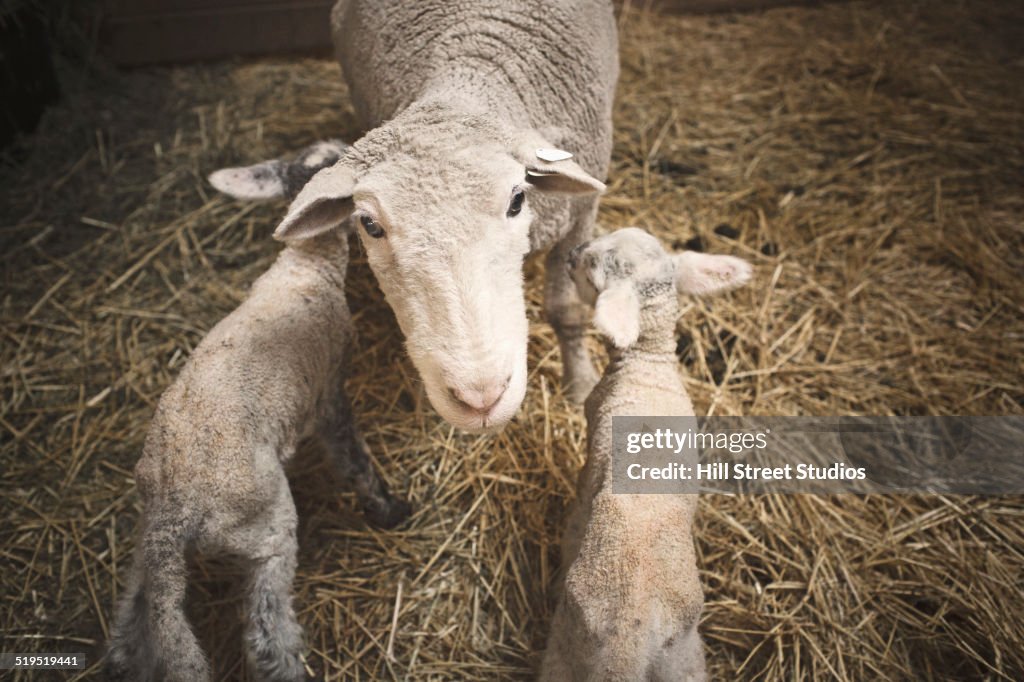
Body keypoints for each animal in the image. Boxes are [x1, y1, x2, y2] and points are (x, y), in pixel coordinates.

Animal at [101, 224, 409, 679]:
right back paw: (289, 666)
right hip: (266, 529)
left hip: (149, 541)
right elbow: (353, 458)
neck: (305, 266)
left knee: (136, 614)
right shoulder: (330, 394)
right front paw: (388, 508)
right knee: (266, 628)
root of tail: (176, 513)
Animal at [207, 0, 614, 430]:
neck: (469, 75)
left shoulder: (581, 213)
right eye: (370, 224)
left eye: (517, 200)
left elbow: (567, 310)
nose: (480, 398)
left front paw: (580, 386)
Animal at [544, 228, 753, 679]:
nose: (573, 253)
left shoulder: (589, 468)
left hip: (568, 641)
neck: (649, 364)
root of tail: (631, 637)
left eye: (591, 268)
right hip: (684, 658)